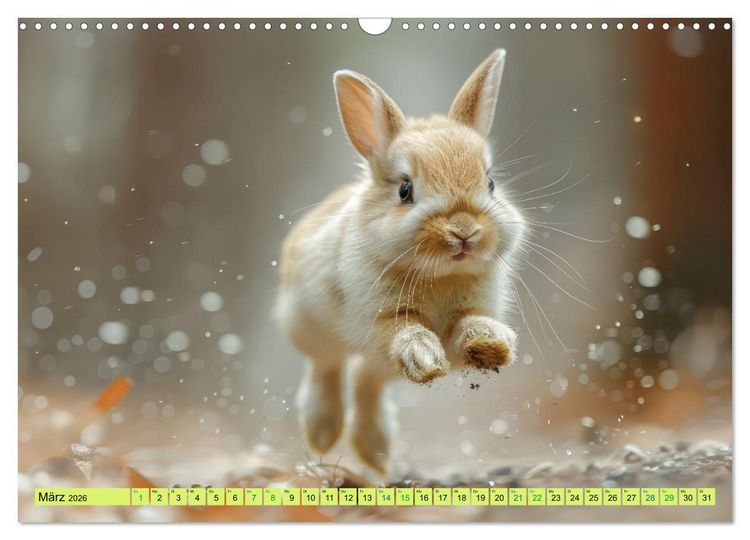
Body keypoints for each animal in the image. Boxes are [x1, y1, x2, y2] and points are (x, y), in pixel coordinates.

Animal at [276, 49, 526, 474]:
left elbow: (467, 328)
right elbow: (404, 332)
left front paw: (491, 345)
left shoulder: (471, 308)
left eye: (491, 183)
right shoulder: (378, 321)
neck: (440, 275)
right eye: (405, 190)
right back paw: (323, 434)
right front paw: (424, 357)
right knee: (328, 368)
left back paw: (375, 454)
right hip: (310, 329)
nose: (464, 231)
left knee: (366, 382)